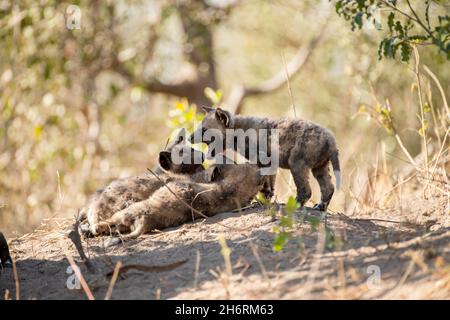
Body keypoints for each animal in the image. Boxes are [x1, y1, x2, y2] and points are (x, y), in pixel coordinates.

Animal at [95, 164, 264, 241]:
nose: (259, 170)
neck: (227, 191)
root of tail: (146, 221)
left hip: (128, 211)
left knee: (109, 222)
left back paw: (95, 228)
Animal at [190, 108, 342, 212]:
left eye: (204, 129)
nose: (189, 137)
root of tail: (330, 138)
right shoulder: (269, 164)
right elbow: (269, 185)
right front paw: (265, 201)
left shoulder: (262, 161)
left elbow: (263, 185)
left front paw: (261, 201)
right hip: (320, 168)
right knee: (328, 188)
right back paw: (320, 207)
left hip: (297, 164)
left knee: (306, 190)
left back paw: (293, 205)